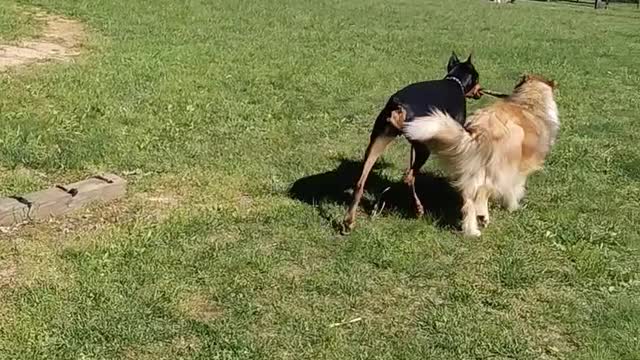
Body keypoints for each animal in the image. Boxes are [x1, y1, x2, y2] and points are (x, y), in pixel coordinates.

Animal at [342, 52, 482, 233]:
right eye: (477, 77)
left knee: (361, 182)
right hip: (422, 147)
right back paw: (418, 209)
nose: (481, 91)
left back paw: (349, 221)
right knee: (409, 177)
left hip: (379, 139)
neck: (454, 81)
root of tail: (398, 105)